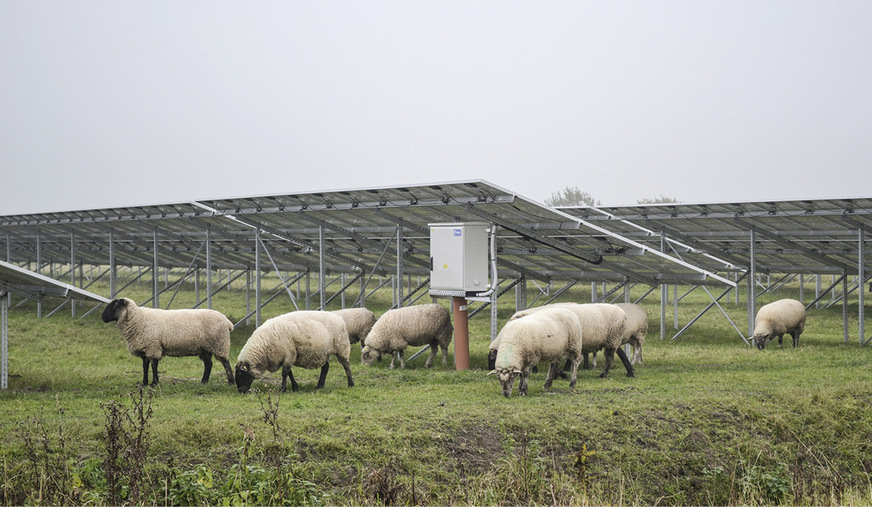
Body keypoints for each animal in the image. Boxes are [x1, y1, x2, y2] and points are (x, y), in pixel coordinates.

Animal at [101, 298, 235, 384]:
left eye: (115, 305)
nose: (103, 317)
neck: (138, 319)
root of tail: (228, 322)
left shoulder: (153, 347)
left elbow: (154, 365)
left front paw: (154, 382)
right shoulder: (145, 349)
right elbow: (145, 366)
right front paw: (144, 382)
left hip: (219, 345)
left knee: (226, 363)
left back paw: (231, 382)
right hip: (206, 348)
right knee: (208, 364)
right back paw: (204, 381)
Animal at [504, 304, 632, 380]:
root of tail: (623, 313)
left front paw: (561, 374)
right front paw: (559, 374)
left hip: (613, 338)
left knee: (610, 358)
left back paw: (603, 374)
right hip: (612, 338)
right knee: (621, 354)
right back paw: (630, 372)